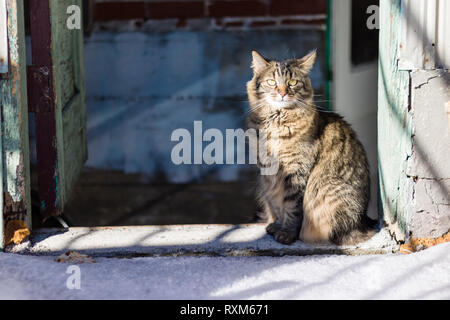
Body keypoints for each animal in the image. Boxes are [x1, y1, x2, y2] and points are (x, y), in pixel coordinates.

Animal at [246, 49, 376, 245]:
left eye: (292, 83)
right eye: (272, 82)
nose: (282, 93)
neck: (276, 122)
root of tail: (363, 220)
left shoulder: (296, 171)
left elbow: (292, 208)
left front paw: (287, 234)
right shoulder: (269, 176)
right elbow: (277, 205)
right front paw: (276, 226)